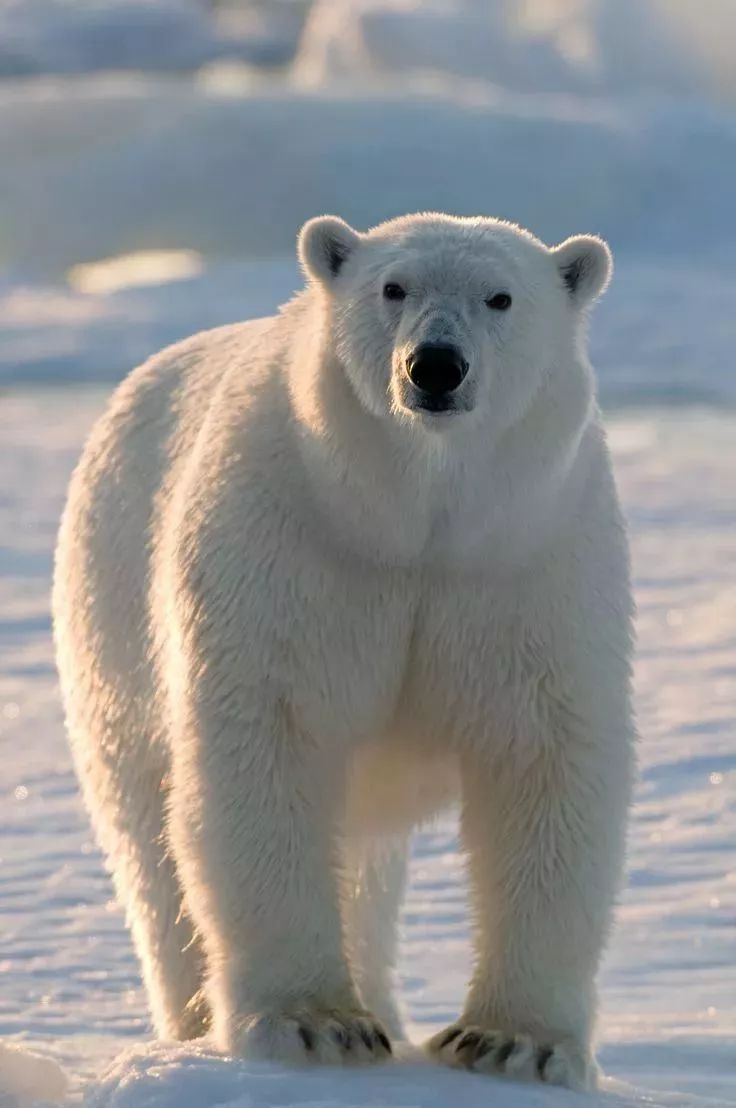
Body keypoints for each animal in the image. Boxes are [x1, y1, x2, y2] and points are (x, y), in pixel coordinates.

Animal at [54, 209, 634, 1090]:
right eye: (392, 287)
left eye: (500, 297)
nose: (435, 366)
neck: (414, 522)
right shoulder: (292, 550)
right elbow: (270, 745)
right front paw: (310, 1025)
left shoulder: (529, 564)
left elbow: (544, 762)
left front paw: (516, 1044)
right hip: (107, 612)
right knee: (148, 836)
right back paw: (197, 1022)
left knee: (363, 859)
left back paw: (385, 1010)